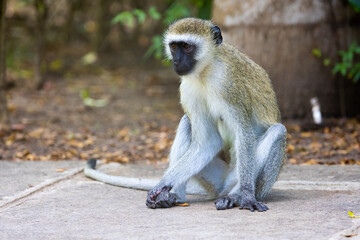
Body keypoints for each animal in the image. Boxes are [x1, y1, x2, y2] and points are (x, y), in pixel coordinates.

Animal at [83, 17, 286, 212]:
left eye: (187, 46)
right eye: (174, 46)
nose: (176, 61)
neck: (205, 71)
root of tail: (222, 187)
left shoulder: (228, 83)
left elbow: (243, 133)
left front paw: (247, 195)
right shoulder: (187, 88)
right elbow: (208, 142)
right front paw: (163, 184)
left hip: (244, 180)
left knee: (277, 131)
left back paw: (235, 196)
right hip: (214, 178)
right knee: (187, 122)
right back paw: (175, 197)